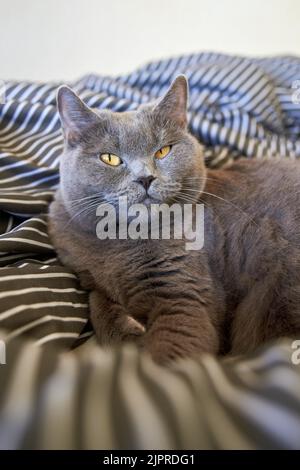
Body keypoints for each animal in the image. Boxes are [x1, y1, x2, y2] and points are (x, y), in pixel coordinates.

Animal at [48, 77, 300, 364]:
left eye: (163, 151)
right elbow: (96, 302)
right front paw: (129, 335)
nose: (145, 178)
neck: (120, 240)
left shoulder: (181, 294)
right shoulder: (84, 272)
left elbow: (171, 351)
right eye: (110, 158)